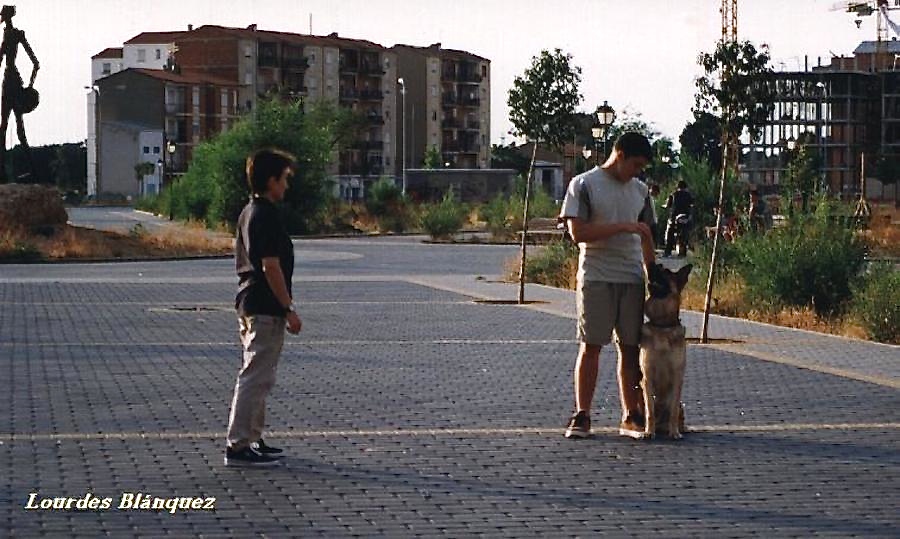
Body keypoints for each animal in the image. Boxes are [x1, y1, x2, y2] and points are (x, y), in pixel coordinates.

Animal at [636, 264, 692, 440]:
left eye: (666, 271)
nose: (653, 265)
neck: (662, 325)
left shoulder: (677, 378)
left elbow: (673, 411)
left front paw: (674, 433)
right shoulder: (647, 379)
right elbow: (650, 411)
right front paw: (649, 432)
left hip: (680, 404)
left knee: (676, 415)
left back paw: (678, 429)